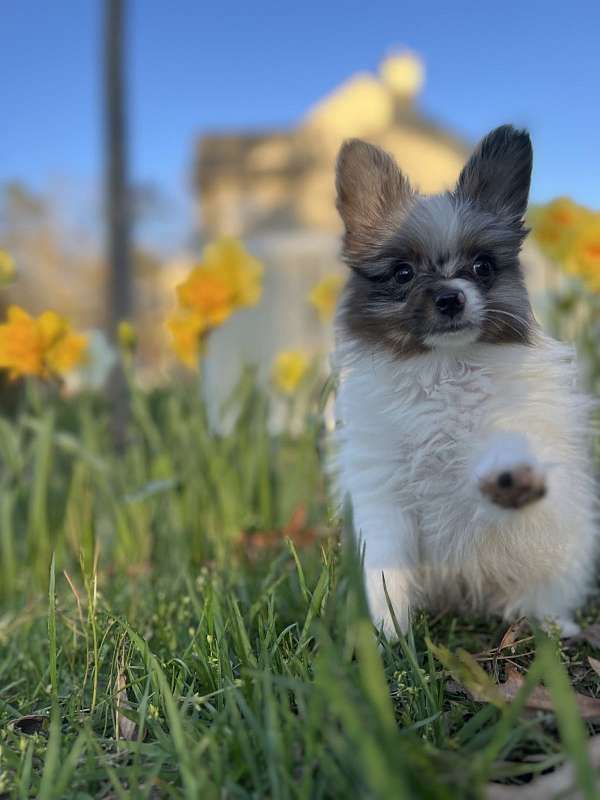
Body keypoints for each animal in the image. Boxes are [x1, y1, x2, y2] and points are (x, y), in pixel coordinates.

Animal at [332, 125, 596, 636]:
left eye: (482, 268)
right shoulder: (384, 497)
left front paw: (510, 477)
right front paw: (387, 633)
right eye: (403, 273)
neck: (443, 369)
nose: (451, 298)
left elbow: (503, 451)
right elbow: (387, 571)